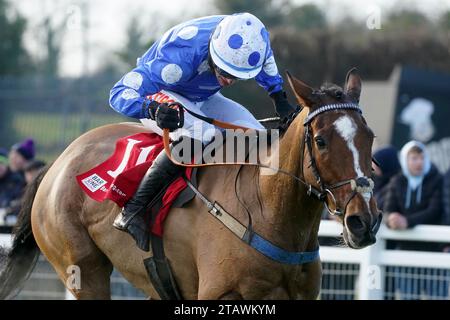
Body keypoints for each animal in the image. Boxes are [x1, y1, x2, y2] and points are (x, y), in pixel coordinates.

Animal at [0, 69, 380, 298]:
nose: (363, 222)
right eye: (321, 141)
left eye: (370, 137)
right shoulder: (219, 293)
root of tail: (58, 161)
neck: (268, 208)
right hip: (81, 269)